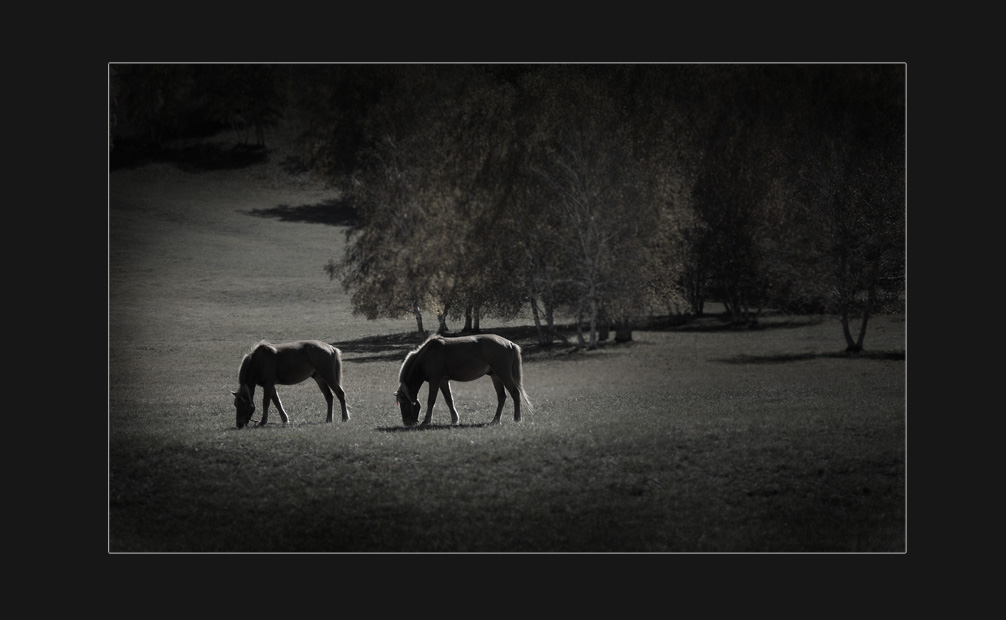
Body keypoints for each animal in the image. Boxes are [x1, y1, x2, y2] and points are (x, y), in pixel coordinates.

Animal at [394, 334, 535, 426]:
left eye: (404, 404)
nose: (407, 423)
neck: (427, 355)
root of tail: (509, 343)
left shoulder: (435, 381)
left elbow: (431, 400)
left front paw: (426, 420)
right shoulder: (443, 381)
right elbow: (449, 400)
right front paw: (454, 419)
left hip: (503, 374)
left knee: (515, 393)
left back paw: (517, 418)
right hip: (495, 376)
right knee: (502, 397)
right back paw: (495, 420)